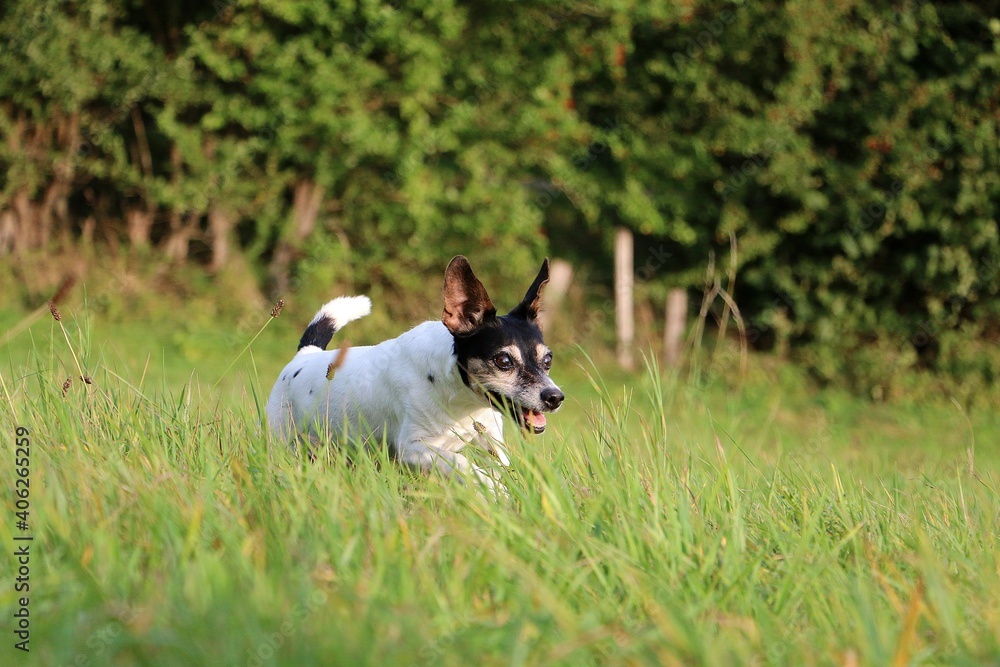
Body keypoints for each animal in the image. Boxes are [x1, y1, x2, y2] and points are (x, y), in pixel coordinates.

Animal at [264, 256, 564, 490]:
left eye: (548, 360)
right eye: (503, 360)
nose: (555, 397)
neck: (458, 397)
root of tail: (306, 354)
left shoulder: (489, 438)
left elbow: (500, 465)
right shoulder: (413, 448)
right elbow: (462, 463)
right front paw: (489, 486)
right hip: (283, 438)